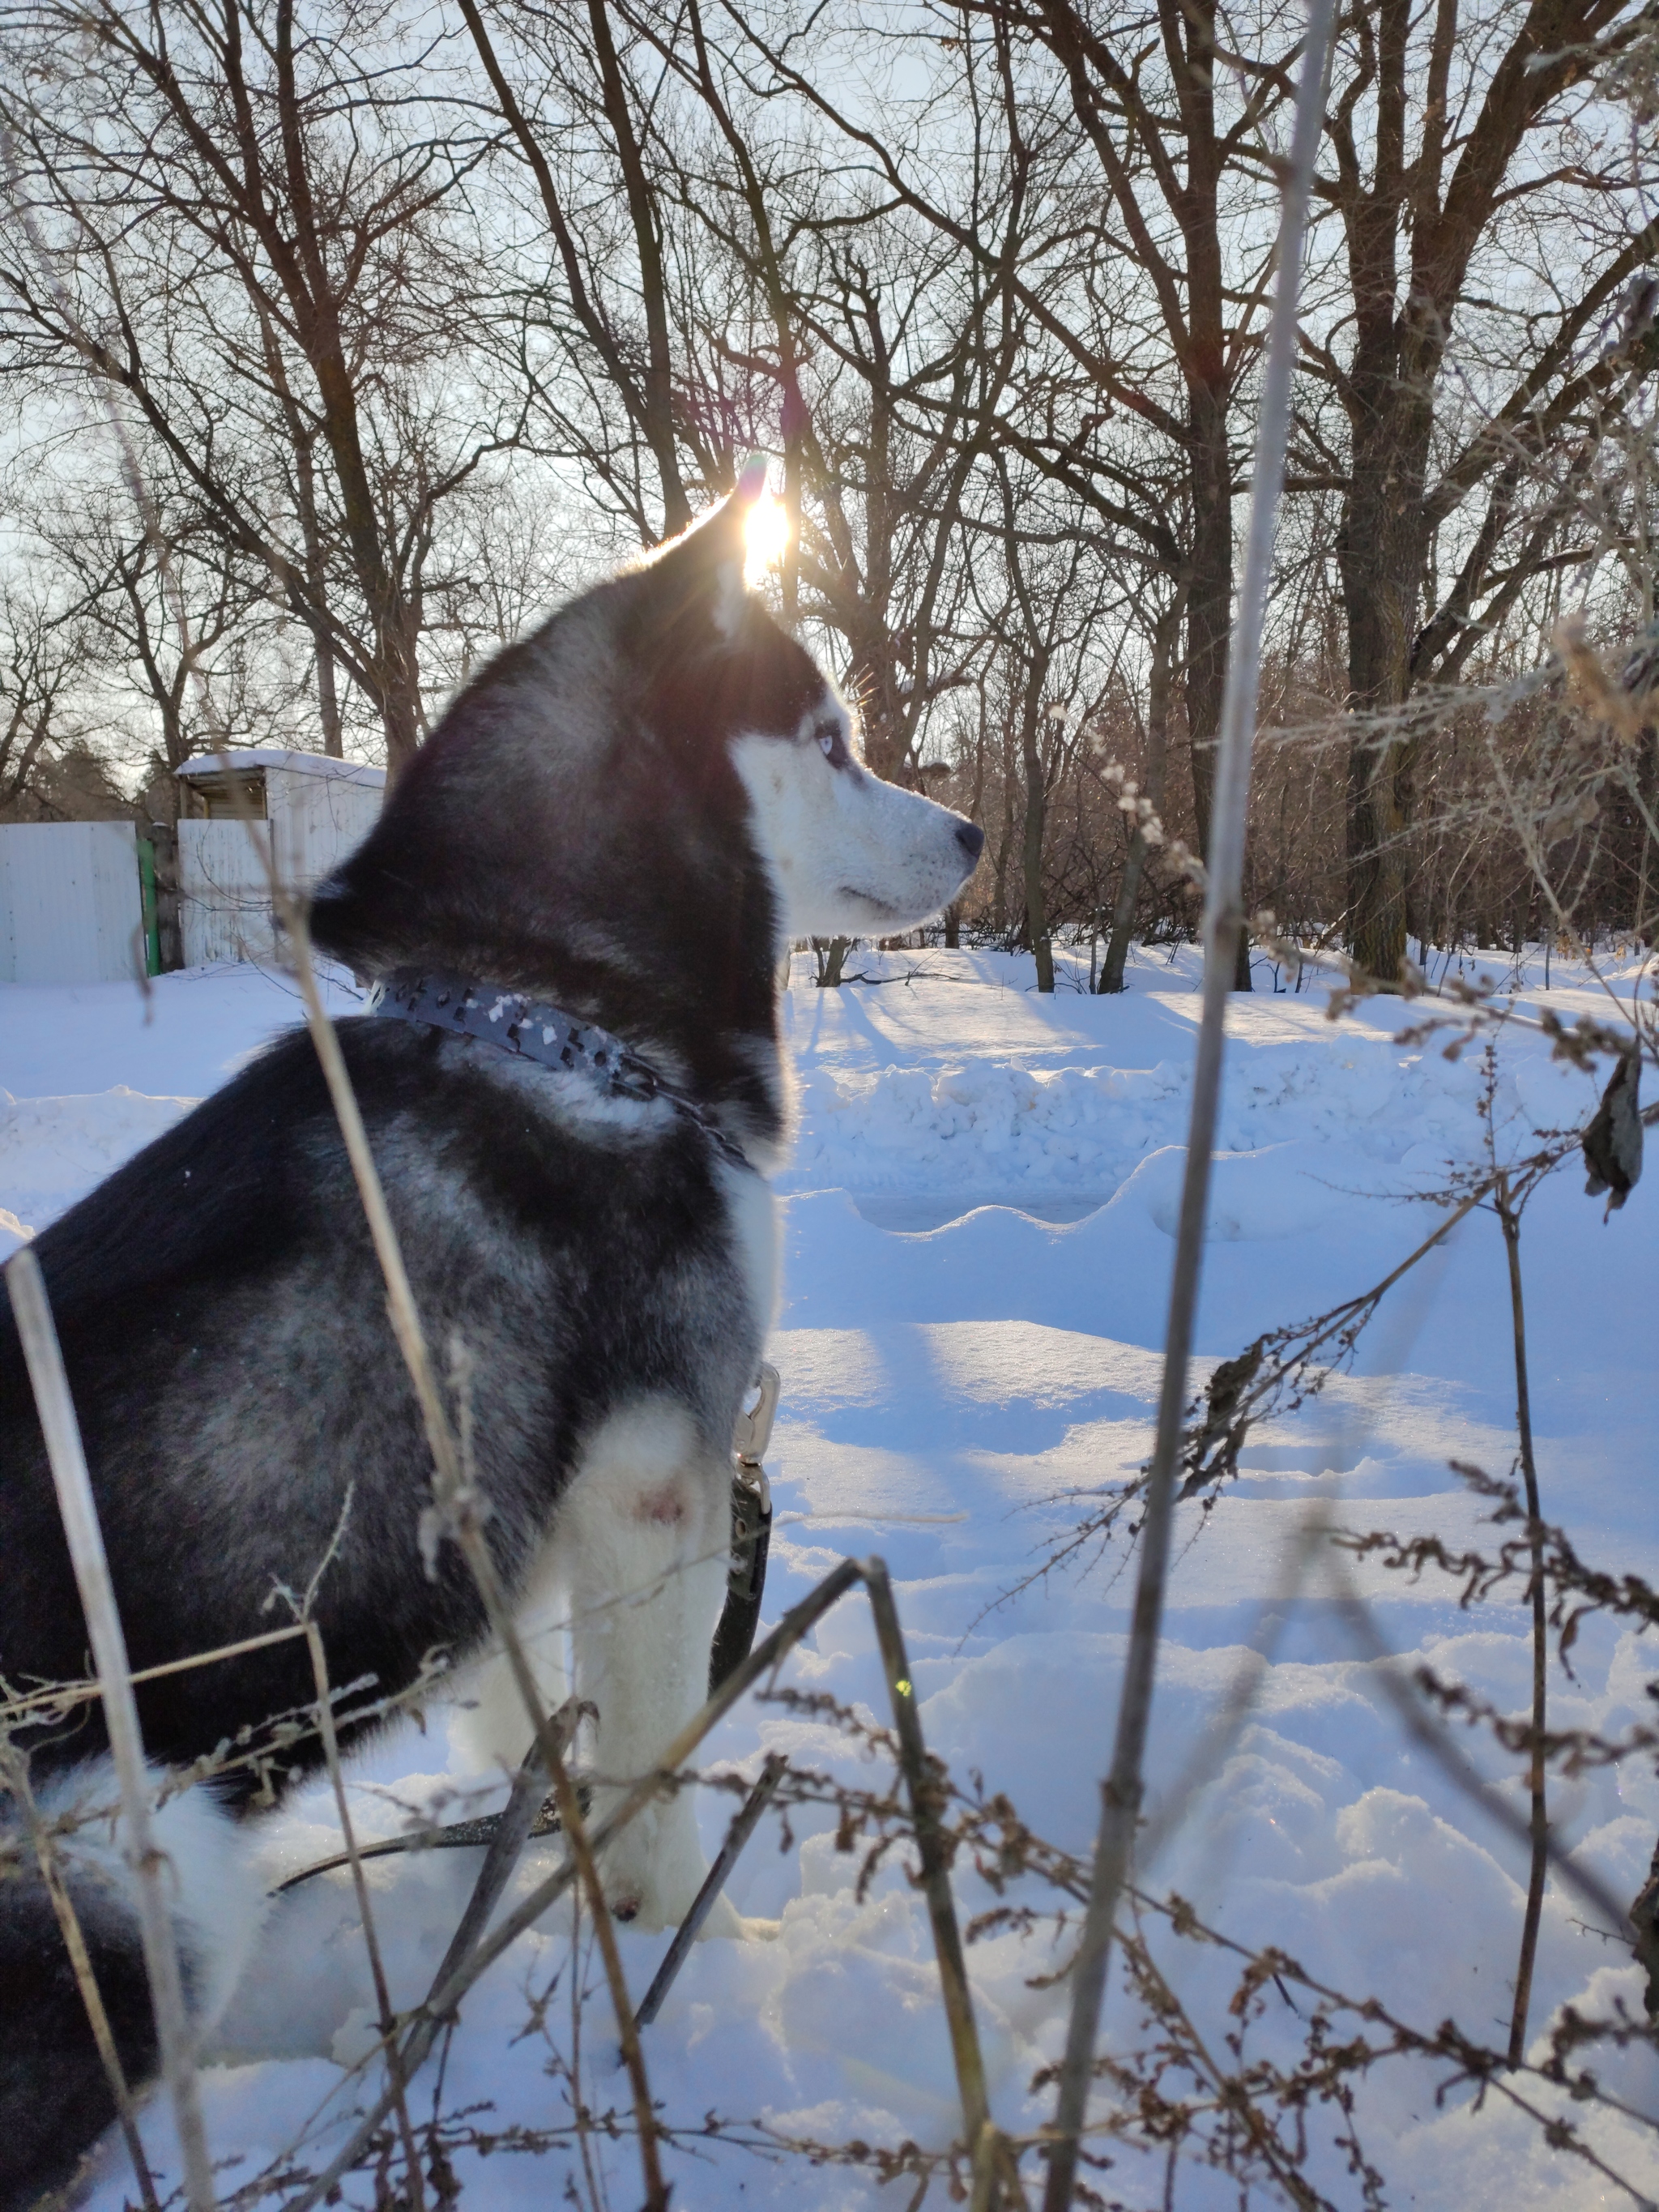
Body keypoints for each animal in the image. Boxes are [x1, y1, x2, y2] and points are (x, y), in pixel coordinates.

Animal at [0, 475, 986, 2203]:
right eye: (831, 738)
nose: (976, 832)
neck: (560, 1022)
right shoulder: (657, 1484)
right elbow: (652, 1766)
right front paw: (669, 1949)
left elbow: (542, 1736)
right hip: (127, 1859)